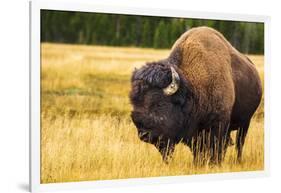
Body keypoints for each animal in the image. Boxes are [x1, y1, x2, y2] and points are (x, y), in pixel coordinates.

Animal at [129, 25, 260, 164]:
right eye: (134, 103)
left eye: (159, 104)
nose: (143, 134)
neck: (192, 88)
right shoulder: (194, 134)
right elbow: (198, 151)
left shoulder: (218, 126)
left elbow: (216, 148)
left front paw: (214, 163)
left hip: (245, 122)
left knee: (239, 144)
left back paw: (238, 160)